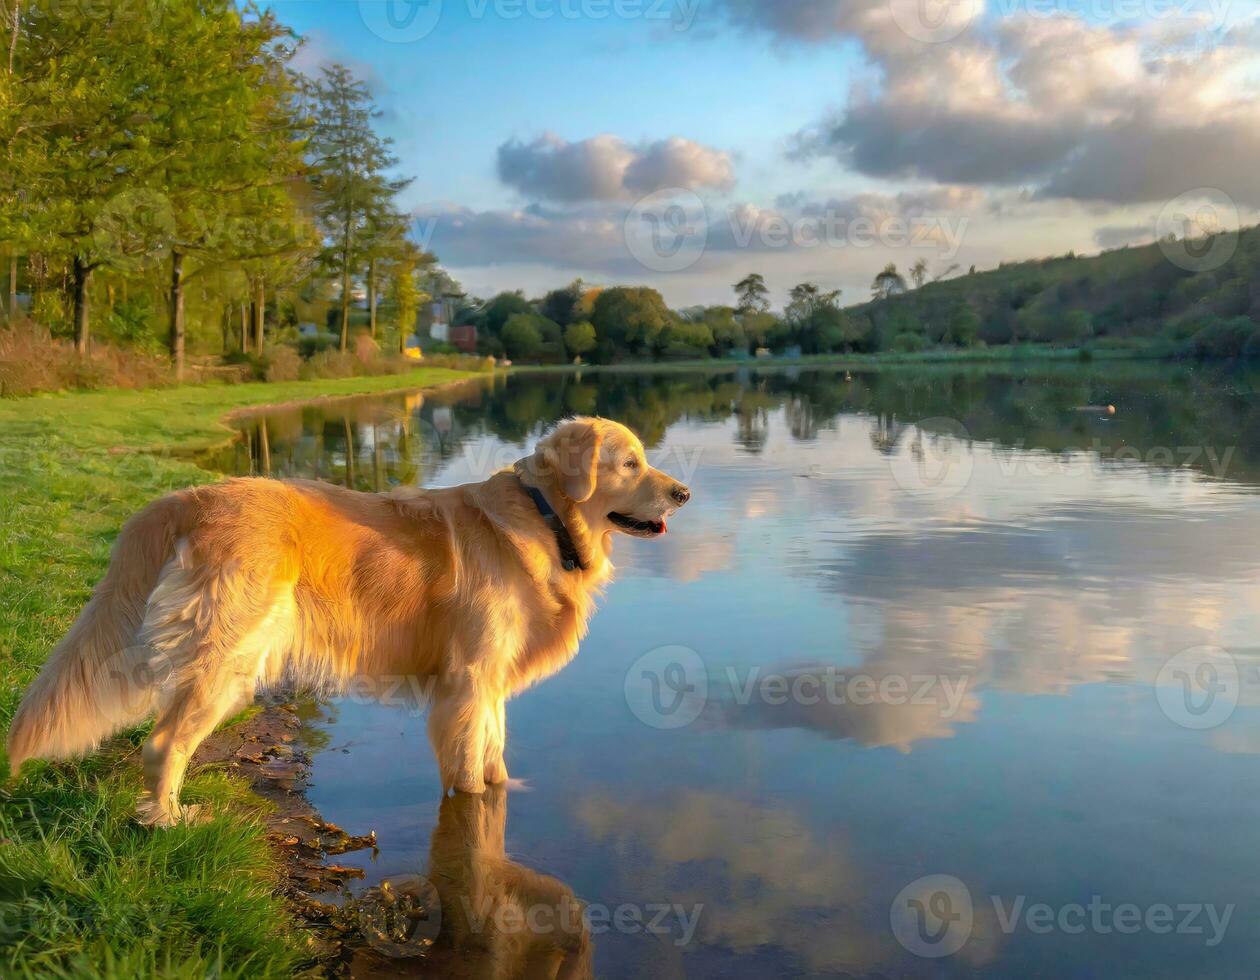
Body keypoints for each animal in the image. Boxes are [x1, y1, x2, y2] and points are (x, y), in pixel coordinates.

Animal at [7, 415, 690, 821]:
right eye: (629, 463)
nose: (683, 493)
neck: (546, 518)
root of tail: (187, 497)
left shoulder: (489, 682)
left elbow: (495, 756)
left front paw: (509, 792)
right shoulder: (467, 684)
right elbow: (470, 771)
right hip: (227, 659)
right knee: (163, 742)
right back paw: (170, 824)